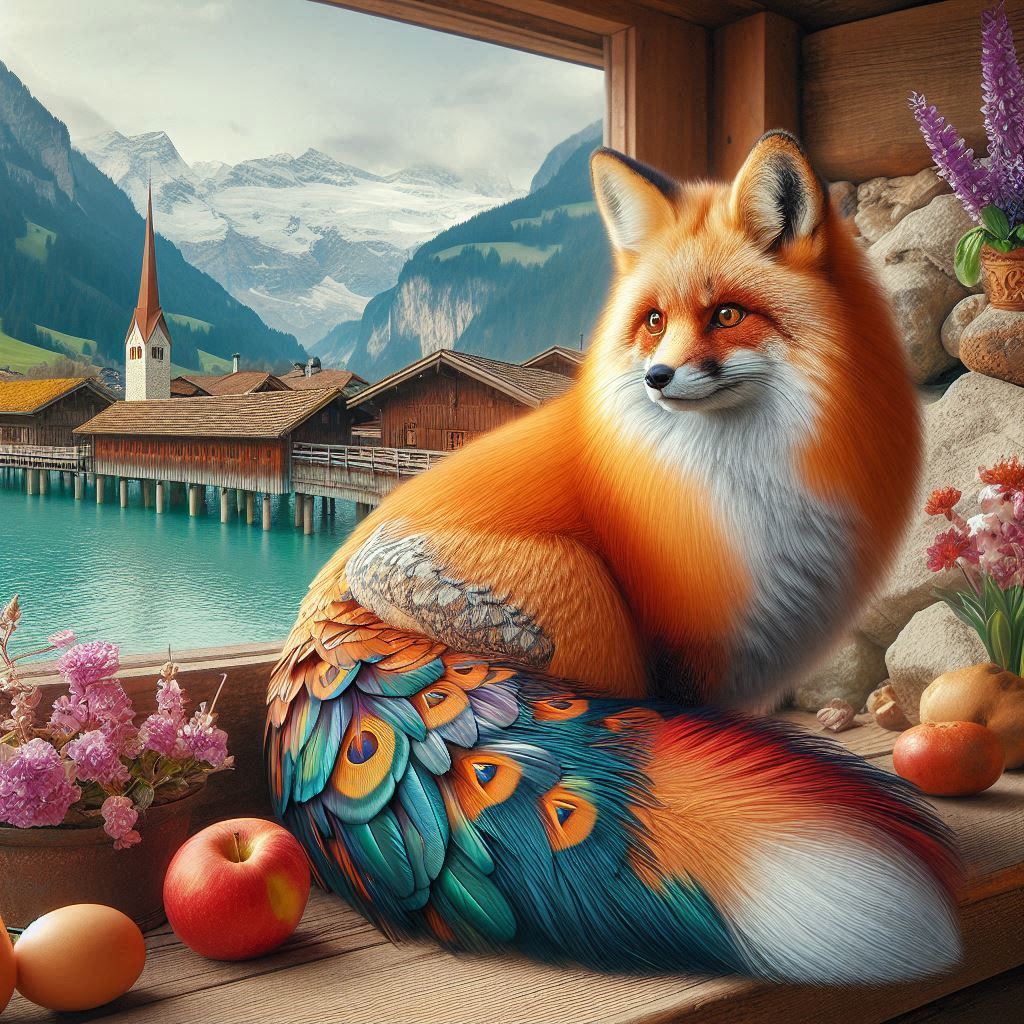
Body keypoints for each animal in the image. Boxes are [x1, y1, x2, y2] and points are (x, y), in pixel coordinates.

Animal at [266, 131, 962, 985]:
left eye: (727, 314)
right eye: (654, 321)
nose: (659, 377)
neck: (741, 484)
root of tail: (320, 621)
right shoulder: (690, 645)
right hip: (583, 589)